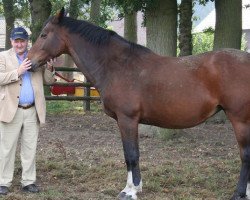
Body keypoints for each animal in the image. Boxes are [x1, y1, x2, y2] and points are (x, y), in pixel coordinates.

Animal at [28, 7, 250, 199]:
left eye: (44, 35)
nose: (29, 62)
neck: (117, 66)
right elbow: (130, 156)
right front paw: (135, 187)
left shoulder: (127, 119)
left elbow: (132, 154)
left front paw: (130, 191)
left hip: (240, 120)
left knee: (245, 155)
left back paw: (239, 193)